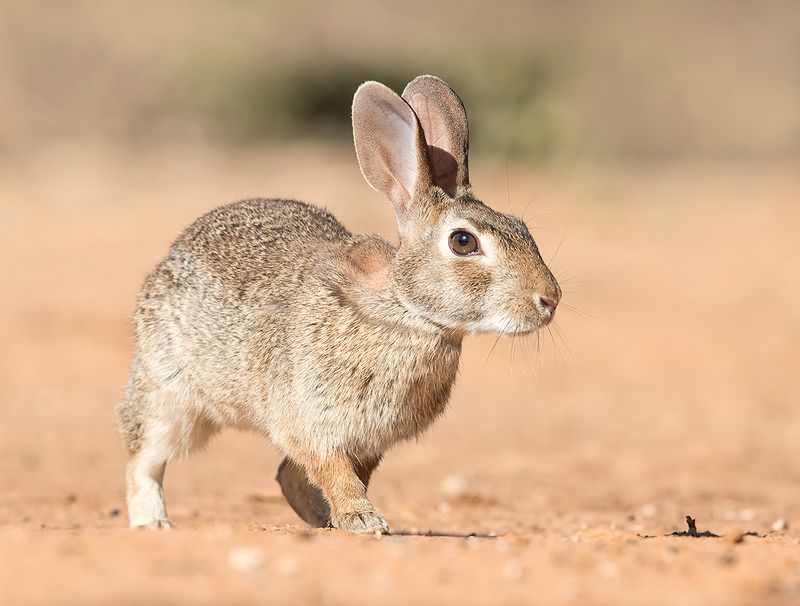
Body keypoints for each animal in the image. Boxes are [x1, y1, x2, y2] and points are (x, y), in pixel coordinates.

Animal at [117, 75, 561, 534]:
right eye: (463, 241)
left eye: (521, 227)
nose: (550, 299)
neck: (405, 310)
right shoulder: (311, 423)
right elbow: (335, 472)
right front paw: (363, 520)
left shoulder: (369, 441)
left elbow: (340, 474)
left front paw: (346, 519)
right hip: (169, 397)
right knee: (143, 459)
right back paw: (152, 522)